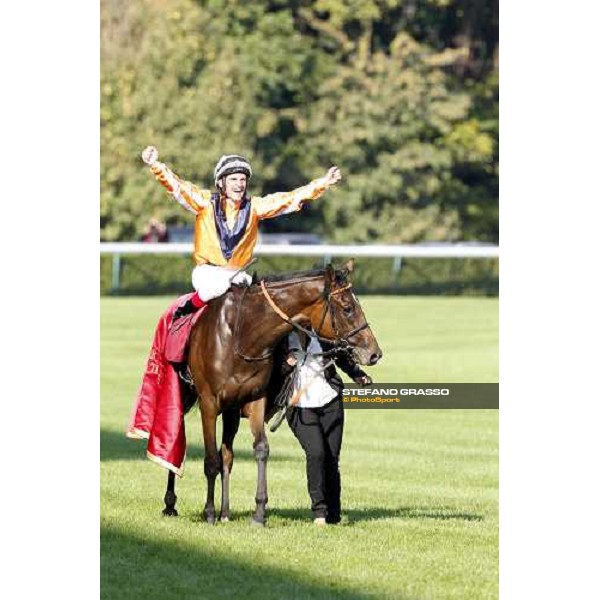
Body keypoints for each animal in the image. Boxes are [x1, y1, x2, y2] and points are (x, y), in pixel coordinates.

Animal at [162, 260, 382, 524]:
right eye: (348, 308)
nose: (374, 353)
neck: (240, 334)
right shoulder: (209, 402)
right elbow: (210, 460)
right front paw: (209, 513)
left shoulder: (255, 398)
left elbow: (260, 449)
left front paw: (258, 512)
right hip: (185, 397)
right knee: (177, 438)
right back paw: (171, 504)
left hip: (232, 410)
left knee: (228, 455)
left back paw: (226, 512)